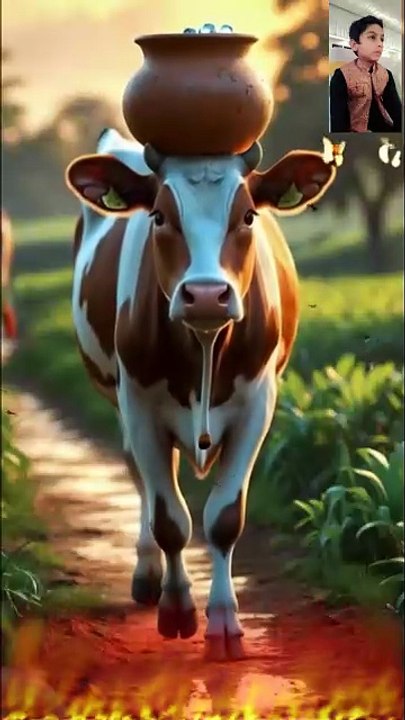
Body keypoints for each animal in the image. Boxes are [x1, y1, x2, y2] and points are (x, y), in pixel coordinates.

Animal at [66, 128, 336, 661]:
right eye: (159, 216)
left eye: (248, 215)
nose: (207, 294)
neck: (204, 345)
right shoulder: (140, 408)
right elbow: (170, 518)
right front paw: (177, 610)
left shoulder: (258, 406)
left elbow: (224, 518)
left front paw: (226, 622)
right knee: (142, 478)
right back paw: (149, 575)